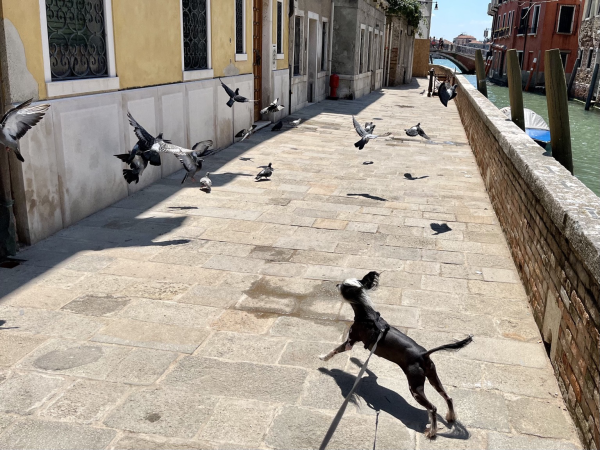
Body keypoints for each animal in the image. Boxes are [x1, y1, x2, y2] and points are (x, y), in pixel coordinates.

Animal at [318, 270, 474, 440]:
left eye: (344, 287)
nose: (336, 285)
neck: (367, 315)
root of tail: (423, 354)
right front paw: (355, 361)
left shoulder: (349, 342)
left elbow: (334, 350)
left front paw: (323, 360)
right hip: (433, 378)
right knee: (448, 398)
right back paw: (450, 417)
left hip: (415, 388)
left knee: (432, 408)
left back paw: (432, 432)